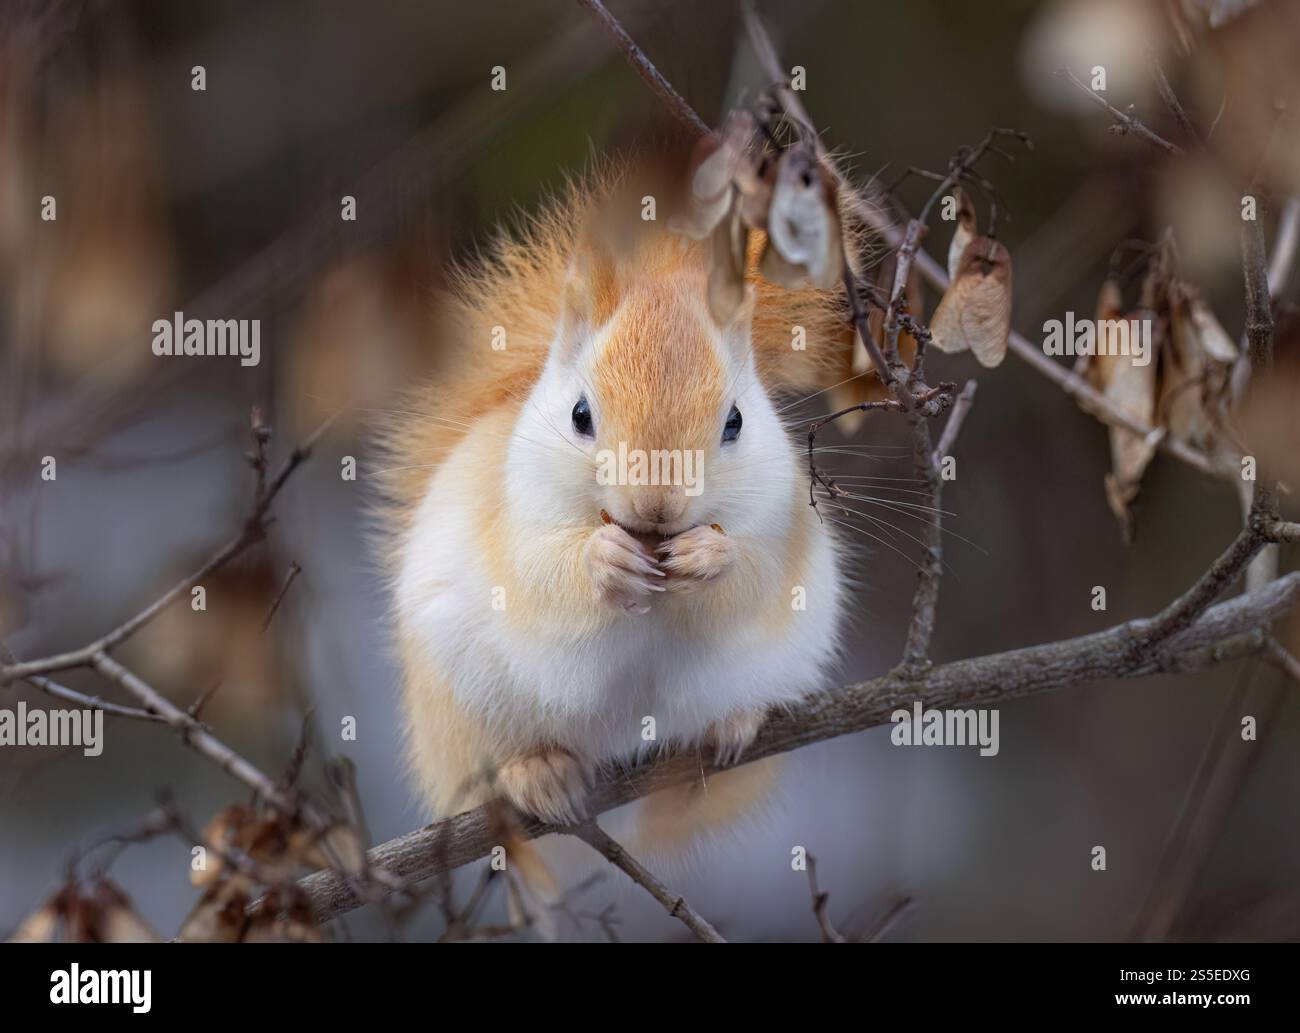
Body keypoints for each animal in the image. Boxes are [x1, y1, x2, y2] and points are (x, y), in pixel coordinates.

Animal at [375, 158, 866, 863]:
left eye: (736, 422)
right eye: (580, 414)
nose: (657, 506)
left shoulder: (779, 522)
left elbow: (755, 579)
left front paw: (708, 557)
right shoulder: (510, 519)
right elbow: (538, 578)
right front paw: (602, 562)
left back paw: (729, 730)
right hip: (464, 710)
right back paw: (540, 774)